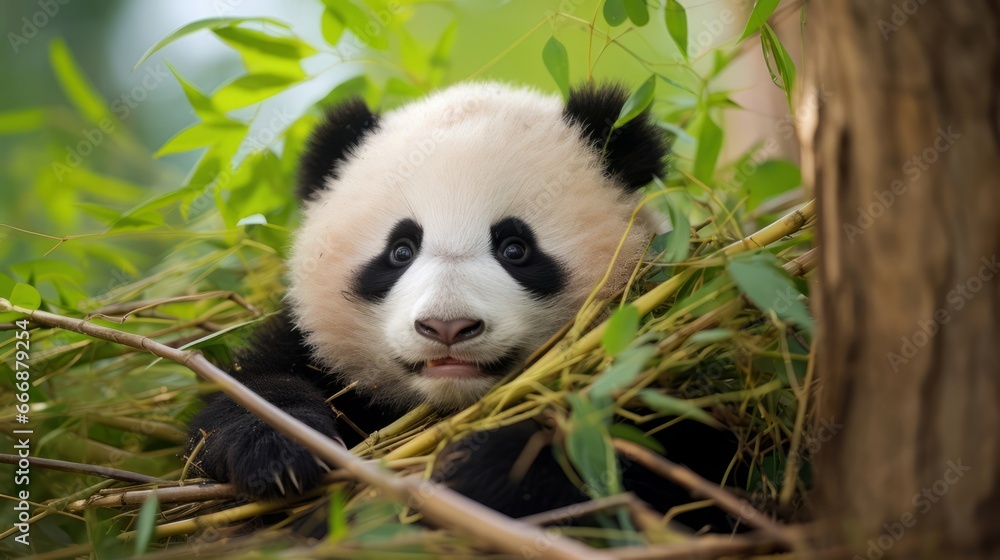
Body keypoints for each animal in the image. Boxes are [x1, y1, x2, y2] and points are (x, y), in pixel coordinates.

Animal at [187, 81, 740, 531]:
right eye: (401, 250)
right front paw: (277, 450)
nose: (447, 327)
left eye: (515, 248)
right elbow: (250, 390)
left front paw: (474, 476)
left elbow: (667, 459)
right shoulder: (308, 342)